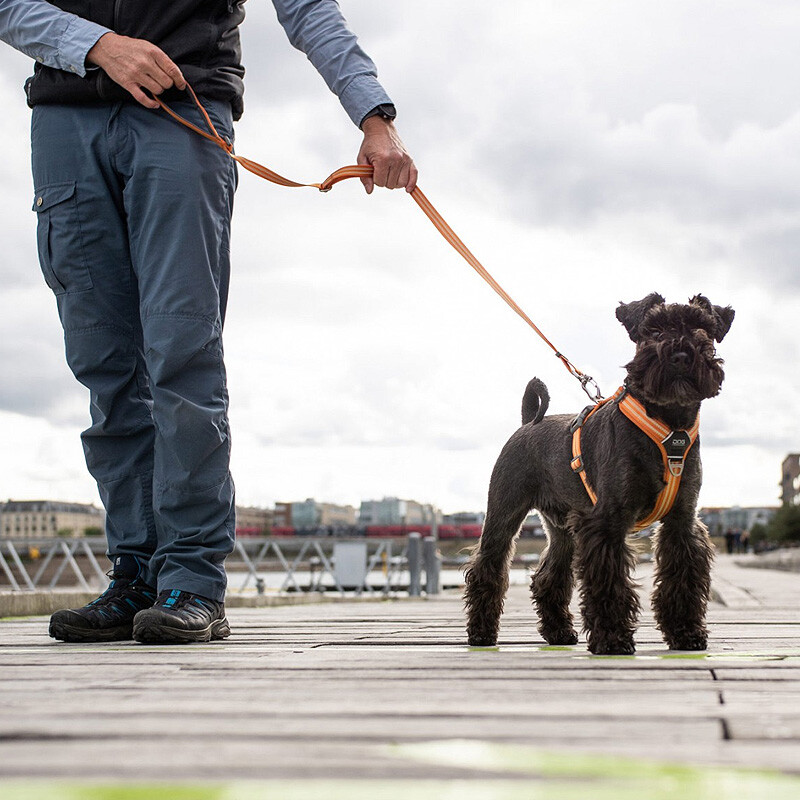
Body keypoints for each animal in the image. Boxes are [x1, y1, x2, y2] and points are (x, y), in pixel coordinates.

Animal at [466, 294, 736, 656]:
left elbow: (682, 577)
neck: (670, 424)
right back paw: (481, 633)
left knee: (549, 576)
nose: (680, 355)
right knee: (487, 568)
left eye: (701, 328)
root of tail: (527, 423)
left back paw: (559, 632)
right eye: (654, 330)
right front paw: (612, 639)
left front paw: (686, 632)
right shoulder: (607, 520)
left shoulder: (681, 520)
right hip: (503, 515)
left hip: (562, 529)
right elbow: (608, 581)